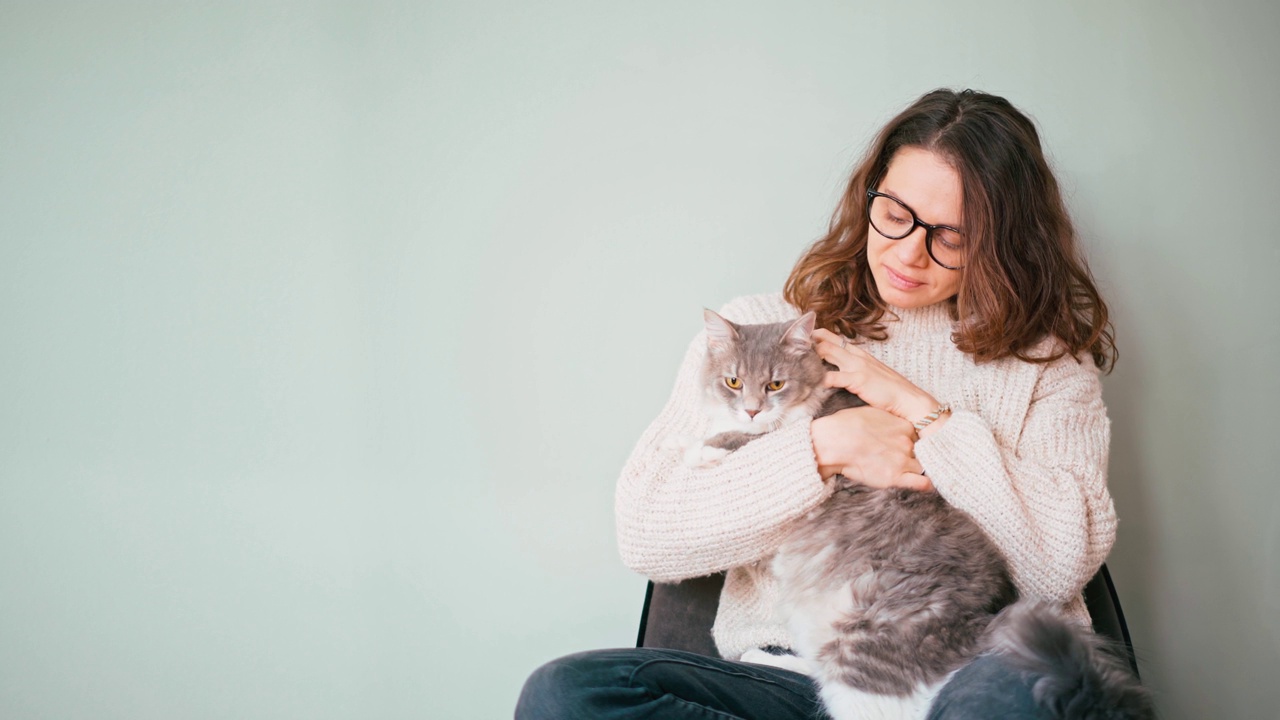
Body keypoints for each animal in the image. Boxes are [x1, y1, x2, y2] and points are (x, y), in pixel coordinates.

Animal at [686, 308, 1157, 717]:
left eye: (775, 385)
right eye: (733, 381)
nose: (751, 409)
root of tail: (976, 630)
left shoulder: (811, 435)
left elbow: (758, 440)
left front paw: (706, 448)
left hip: (855, 648)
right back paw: (760, 656)